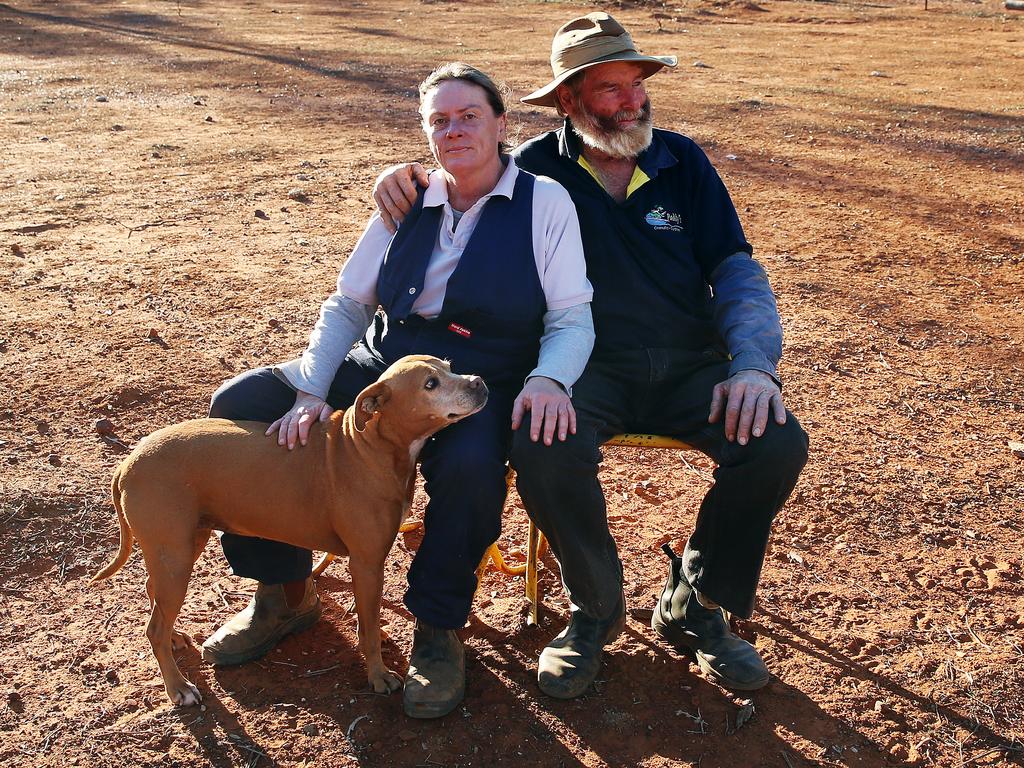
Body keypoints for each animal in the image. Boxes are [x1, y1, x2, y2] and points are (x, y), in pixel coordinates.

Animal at [92, 358, 487, 708]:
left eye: (450, 367)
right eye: (431, 384)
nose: (480, 382)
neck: (370, 445)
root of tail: (127, 462)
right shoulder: (367, 564)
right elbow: (370, 629)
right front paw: (378, 676)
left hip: (182, 546)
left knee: (153, 596)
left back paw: (175, 638)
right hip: (174, 557)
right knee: (153, 628)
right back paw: (178, 688)